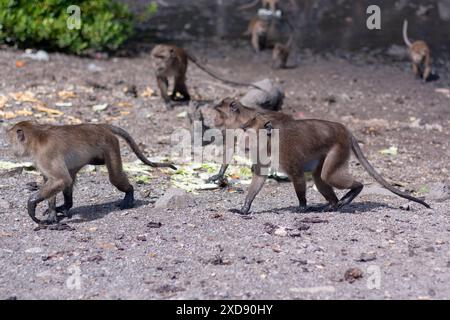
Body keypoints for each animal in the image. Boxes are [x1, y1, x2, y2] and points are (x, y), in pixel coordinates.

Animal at [7, 121, 176, 224]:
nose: (12, 150)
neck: (37, 137)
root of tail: (99, 126)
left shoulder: (45, 155)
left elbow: (61, 180)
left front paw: (32, 203)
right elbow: (55, 181)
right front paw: (52, 213)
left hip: (110, 143)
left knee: (114, 177)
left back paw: (129, 193)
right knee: (71, 176)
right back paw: (67, 206)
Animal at [237, 113, 430, 215]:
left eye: (250, 126)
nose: (242, 128)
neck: (270, 142)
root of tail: (344, 129)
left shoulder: (286, 153)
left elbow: (297, 176)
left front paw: (302, 206)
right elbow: (259, 176)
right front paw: (245, 207)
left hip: (339, 146)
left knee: (327, 176)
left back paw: (355, 189)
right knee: (320, 177)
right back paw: (332, 203)